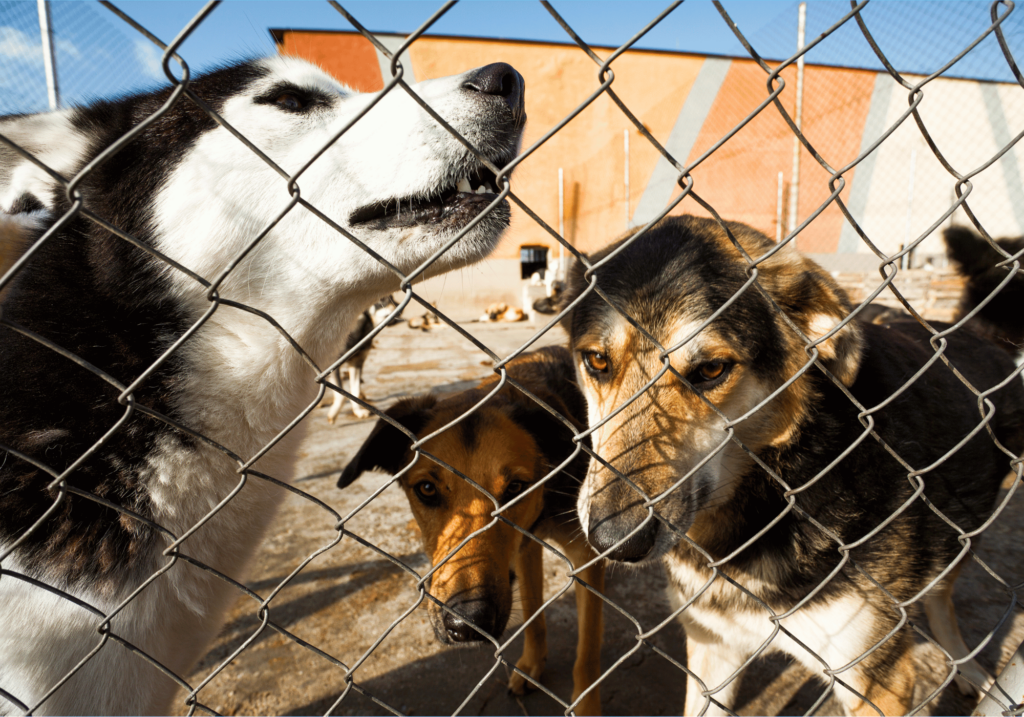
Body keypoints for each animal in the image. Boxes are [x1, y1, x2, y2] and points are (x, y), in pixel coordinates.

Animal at [339, 344, 602, 712]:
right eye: (426, 489)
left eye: (516, 487)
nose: (467, 624)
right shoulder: (526, 547)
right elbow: (533, 616)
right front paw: (532, 664)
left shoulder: (585, 558)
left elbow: (587, 655)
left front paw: (587, 705)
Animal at [561, 216, 1024, 717]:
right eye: (597, 360)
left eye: (711, 370)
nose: (613, 541)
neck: (775, 495)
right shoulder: (713, 648)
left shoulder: (877, 679)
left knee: (942, 600)